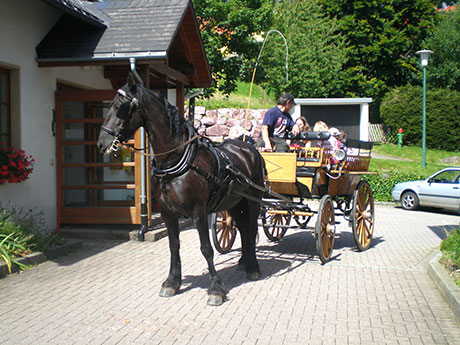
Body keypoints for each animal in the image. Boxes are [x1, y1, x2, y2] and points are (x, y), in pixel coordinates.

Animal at [96, 72, 266, 304]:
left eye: (120, 106)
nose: (101, 143)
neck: (176, 160)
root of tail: (249, 147)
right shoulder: (167, 212)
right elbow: (174, 246)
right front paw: (172, 282)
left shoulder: (199, 212)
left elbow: (206, 249)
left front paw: (215, 289)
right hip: (233, 202)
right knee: (243, 228)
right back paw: (244, 261)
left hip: (252, 200)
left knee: (251, 227)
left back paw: (253, 267)